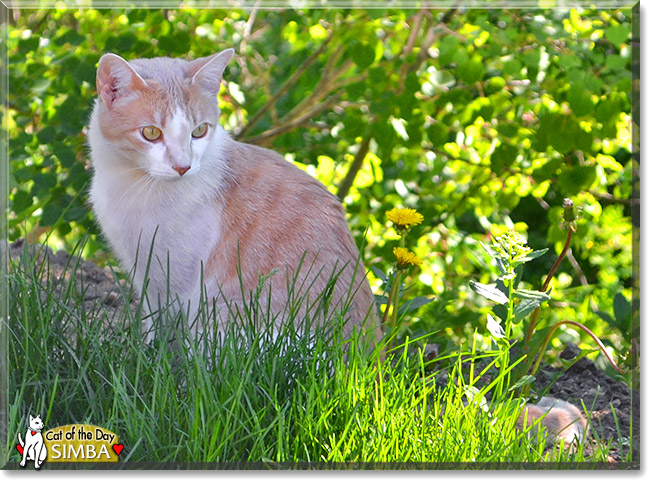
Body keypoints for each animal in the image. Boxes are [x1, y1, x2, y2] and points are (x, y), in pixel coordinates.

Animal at [86, 48, 380, 346]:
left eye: (199, 131)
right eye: (151, 133)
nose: (183, 166)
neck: (129, 181)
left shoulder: (173, 279)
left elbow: (166, 330)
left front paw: (156, 352)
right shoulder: (144, 272)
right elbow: (151, 320)